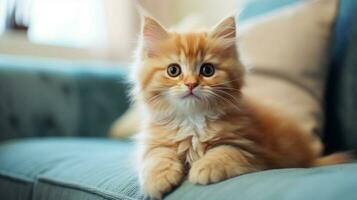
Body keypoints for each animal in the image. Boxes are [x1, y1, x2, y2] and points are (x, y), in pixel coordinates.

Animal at [131, 16, 348, 200]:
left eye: (207, 70)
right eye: (173, 70)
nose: (191, 84)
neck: (192, 119)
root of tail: (311, 158)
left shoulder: (250, 149)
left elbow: (224, 152)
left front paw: (203, 169)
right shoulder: (155, 142)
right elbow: (156, 158)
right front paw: (158, 180)